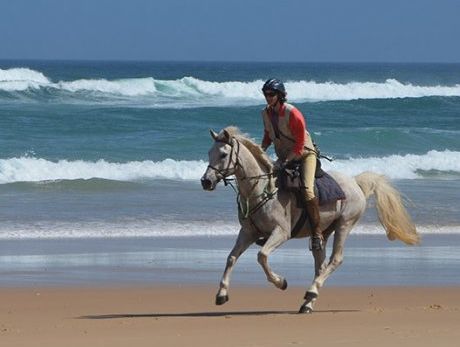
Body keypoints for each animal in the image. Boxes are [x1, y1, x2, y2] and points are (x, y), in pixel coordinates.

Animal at [201, 126, 420, 314]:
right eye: (209, 153)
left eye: (223, 154)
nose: (206, 181)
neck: (261, 189)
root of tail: (355, 182)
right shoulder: (248, 232)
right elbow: (231, 257)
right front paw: (221, 294)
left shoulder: (280, 233)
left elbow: (262, 256)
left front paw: (281, 282)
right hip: (322, 232)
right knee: (320, 265)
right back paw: (307, 303)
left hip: (345, 224)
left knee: (336, 259)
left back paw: (312, 291)